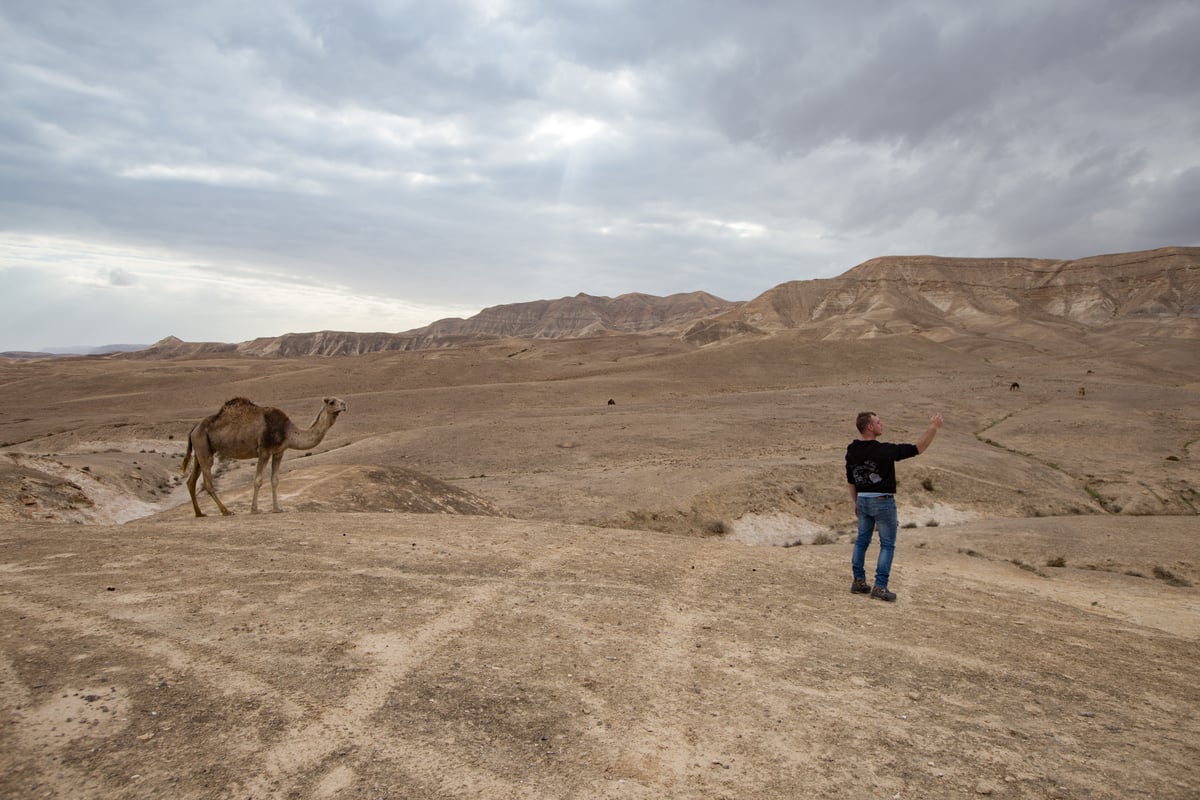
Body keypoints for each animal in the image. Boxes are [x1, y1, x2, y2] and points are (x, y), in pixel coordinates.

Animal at [180, 395, 348, 520]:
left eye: (340, 400)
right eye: (332, 402)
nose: (345, 405)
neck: (288, 432)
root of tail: (194, 428)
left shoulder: (279, 452)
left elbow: (275, 480)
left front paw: (277, 509)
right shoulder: (264, 450)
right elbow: (258, 480)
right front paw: (255, 510)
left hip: (202, 448)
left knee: (191, 480)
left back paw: (200, 513)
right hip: (203, 446)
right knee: (208, 482)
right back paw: (226, 511)